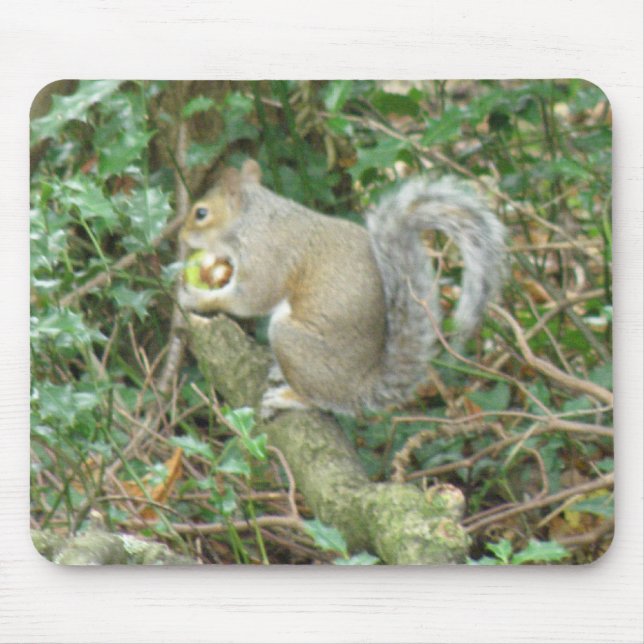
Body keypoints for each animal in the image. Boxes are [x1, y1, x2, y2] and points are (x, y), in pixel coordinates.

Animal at [179, 159, 506, 417]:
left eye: (201, 213)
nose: (181, 236)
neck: (253, 220)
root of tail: (358, 387)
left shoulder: (267, 256)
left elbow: (250, 298)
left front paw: (197, 298)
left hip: (291, 341)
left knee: (319, 400)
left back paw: (289, 397)